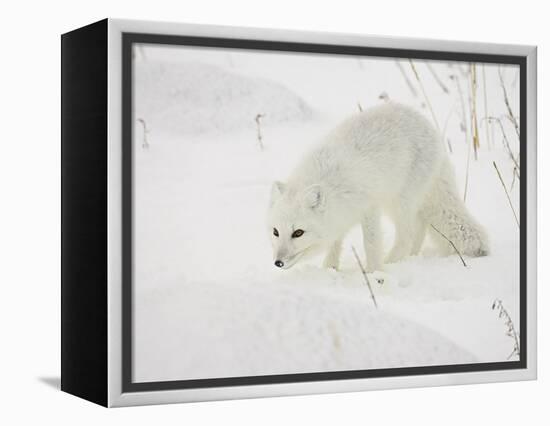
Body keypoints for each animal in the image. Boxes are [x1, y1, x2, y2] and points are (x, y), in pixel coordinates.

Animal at [270, 101, 490, 272]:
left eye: (298, 233)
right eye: (275, 232)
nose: (278, 262)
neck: (329, 181)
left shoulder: (370, 208)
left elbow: (371, 244)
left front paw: (374, 273)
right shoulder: (339, 217)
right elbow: (335, 244)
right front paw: (329, 270)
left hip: (399, 201)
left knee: (408, 235)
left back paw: (393, 263)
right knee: (419, 226)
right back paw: (410, 257)